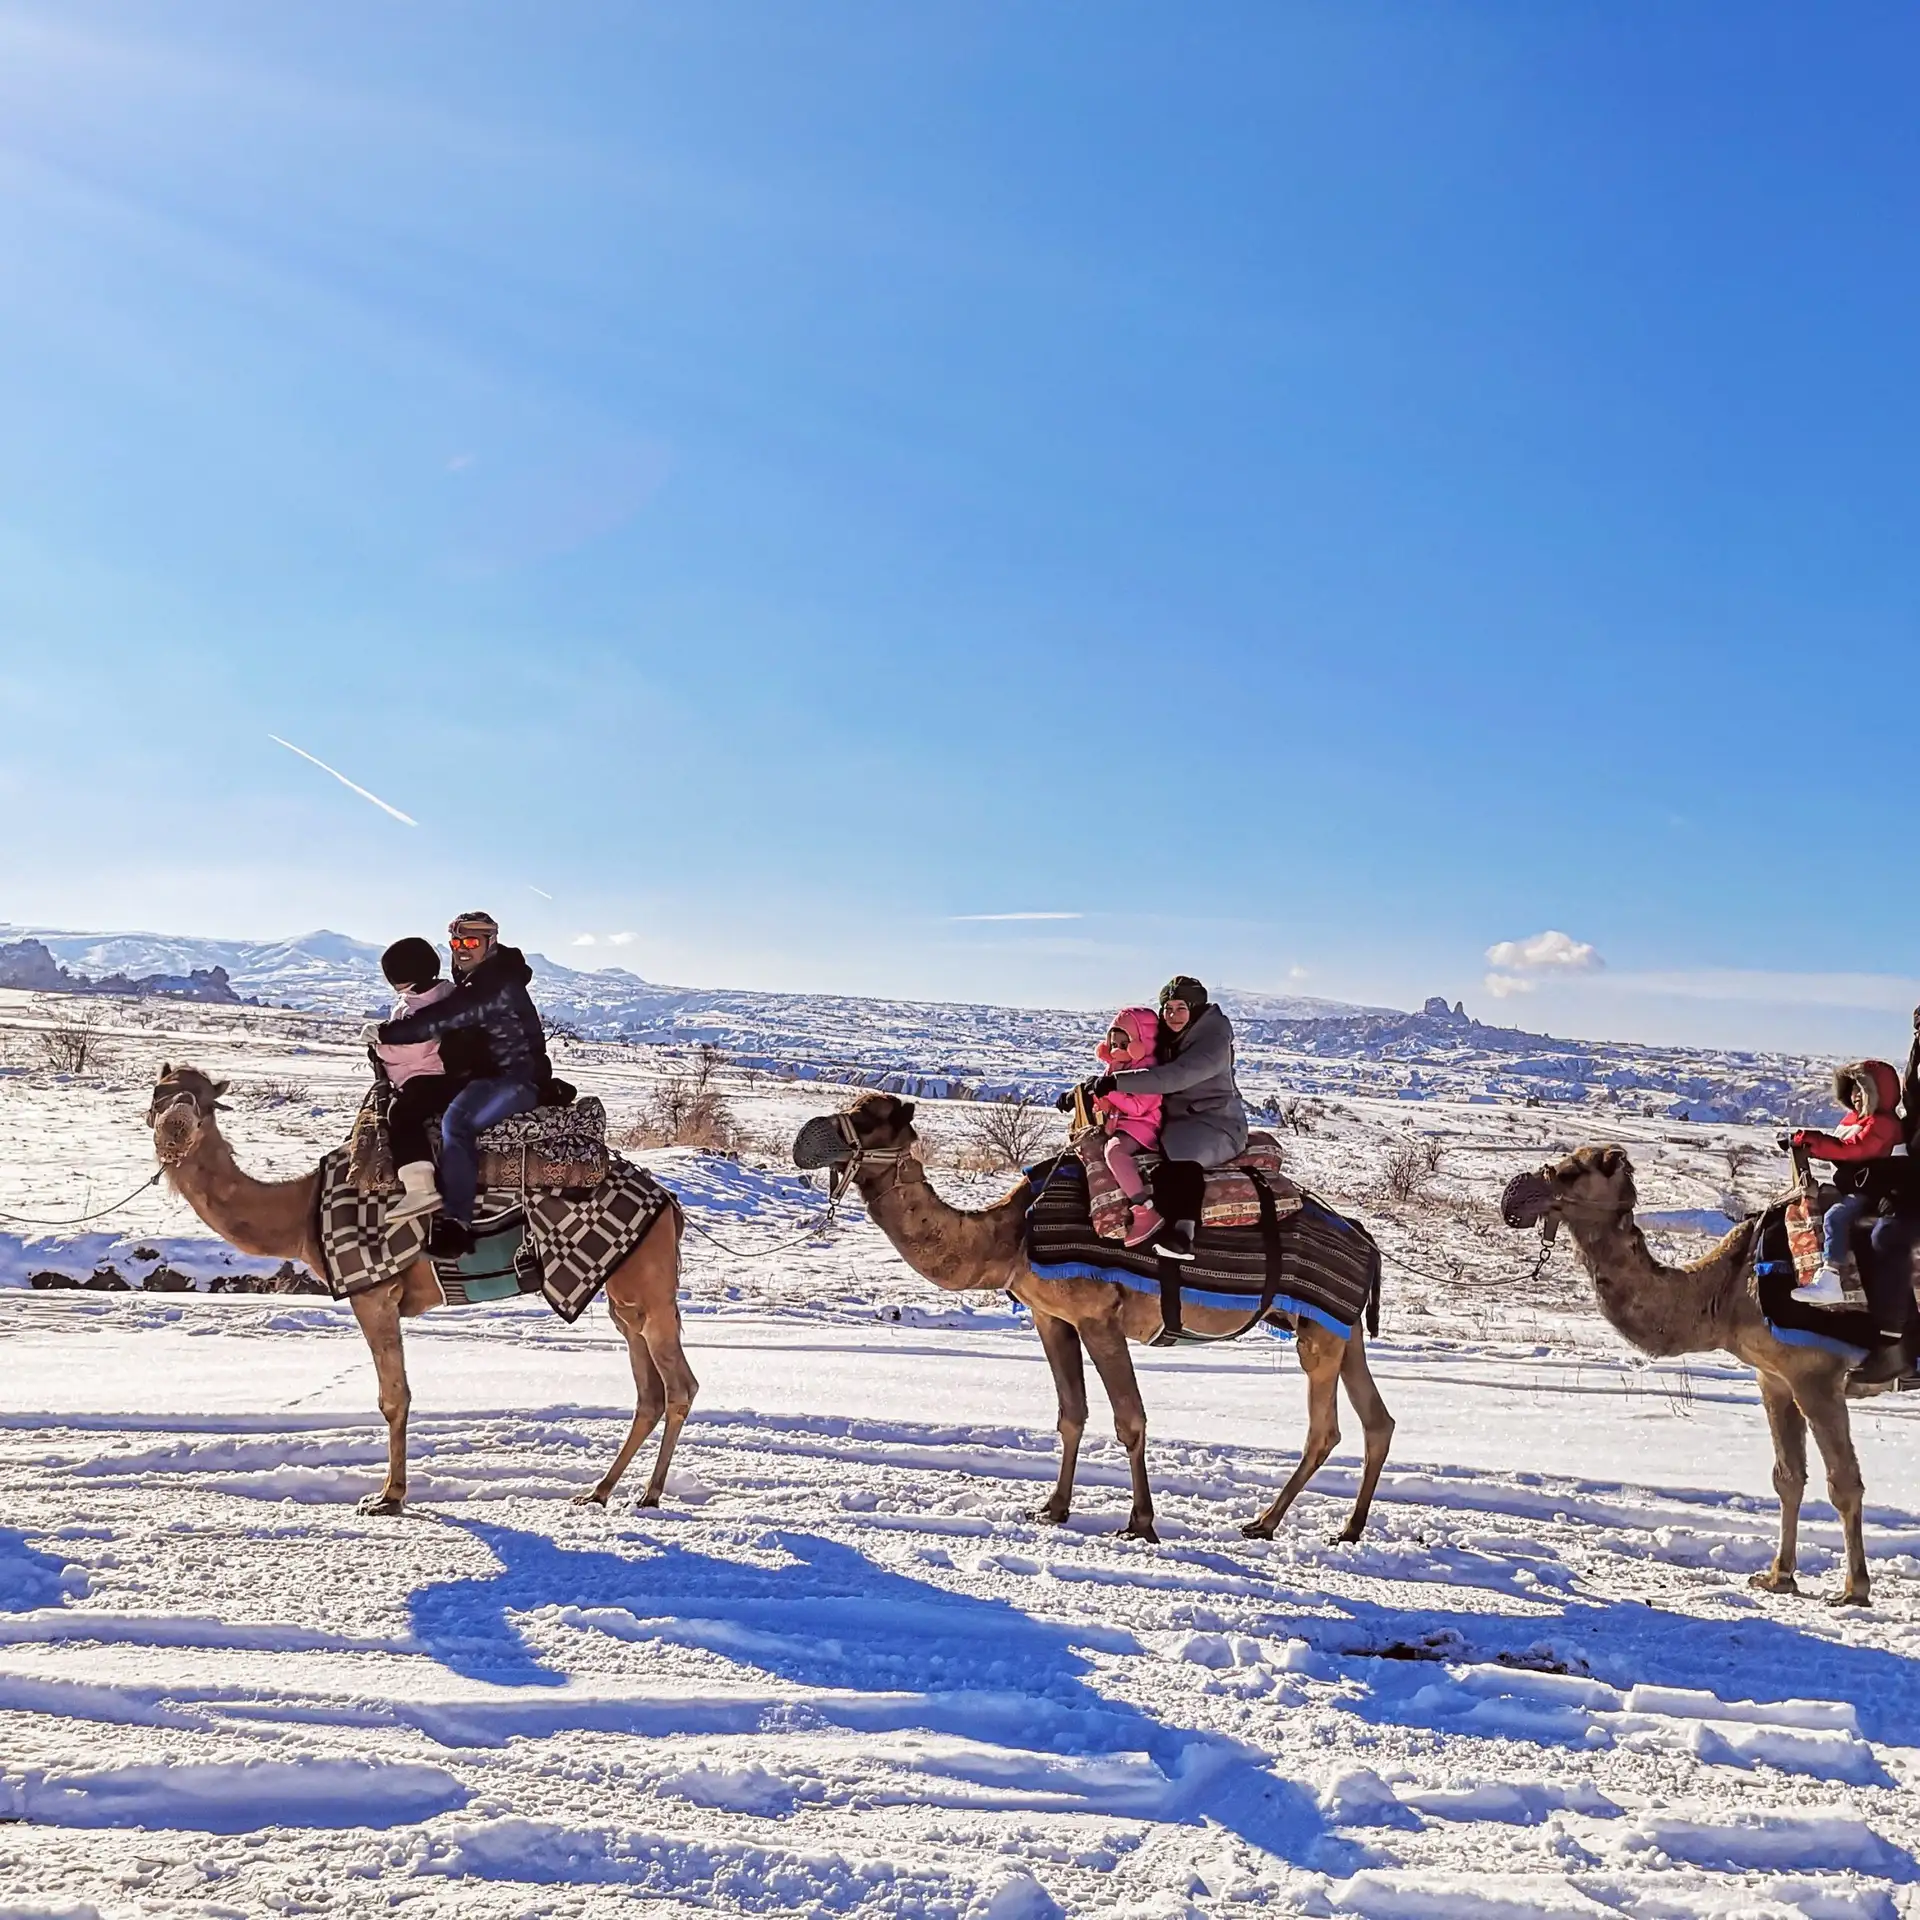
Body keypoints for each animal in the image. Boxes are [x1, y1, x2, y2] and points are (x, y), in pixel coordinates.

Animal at [145, 1064, 694, 1515]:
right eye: (158, 1096)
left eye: (203, 1103)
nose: (175, 1130)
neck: (301, 1213)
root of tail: (669, 1202)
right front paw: (390, 1493)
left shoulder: (373, 1292)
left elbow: (394, 1397)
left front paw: (387, 1498)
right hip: (622, 1293)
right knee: (647, 1388)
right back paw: (598, 1492)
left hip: (647, 1285)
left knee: (678, 1385)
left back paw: (649, 1495)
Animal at [800, 1093, 1395, 1545]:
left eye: (872, 1117)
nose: (806, 1137)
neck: (1009, 1237)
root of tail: (1365, 1240)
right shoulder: (1051, 1317)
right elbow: (1072, 1414)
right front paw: (1052, 1507)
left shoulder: (1098, 1318)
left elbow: (1129, 1419)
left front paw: (1141, 1523)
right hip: (1339, 1328)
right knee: (1377, 1421)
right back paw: (1347, 1529)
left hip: (1319, 1330)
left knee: (1325, 1429)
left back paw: (1264, 1523)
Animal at [1502, 1143, 1890, 1606]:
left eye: (1571, 1171)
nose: (1512, 1195)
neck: (1727, 1289)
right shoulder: (1774, 1377)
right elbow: (1788, 1477)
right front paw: (1777, 1576)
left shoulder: (1815, 1375)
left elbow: (1843, 1484)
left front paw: (1854, 1591)